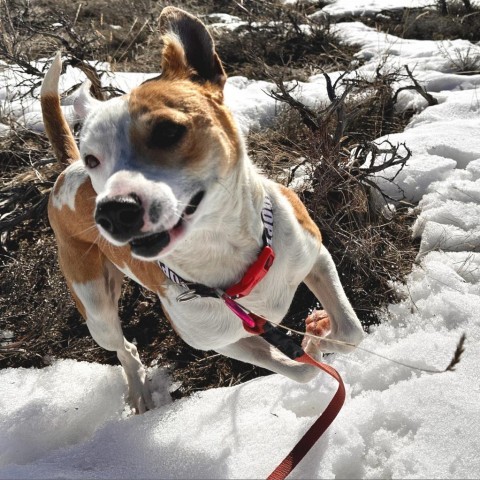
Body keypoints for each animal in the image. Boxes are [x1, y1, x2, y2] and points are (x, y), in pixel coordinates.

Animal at [42, 6, 364, 412]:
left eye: (167, 130)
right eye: (94, 159)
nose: (112, 212)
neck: (221, 251)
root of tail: (67, 170)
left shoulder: (316, 256)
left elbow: (351, 332)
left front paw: (320, 332)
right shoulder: (225, 341)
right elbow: (302, 369)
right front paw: (313, 344)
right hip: (94, 307)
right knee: (124, 348)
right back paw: (139, 391)